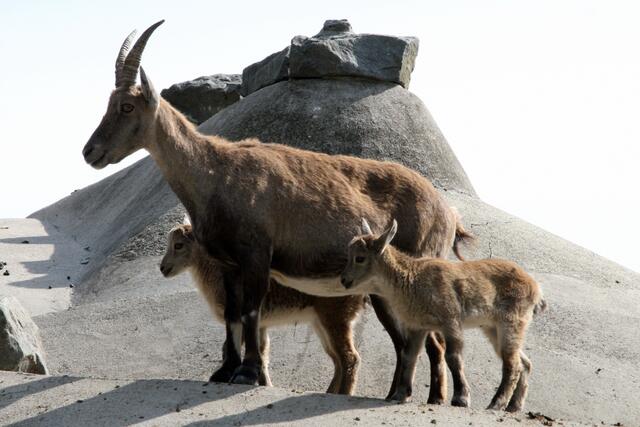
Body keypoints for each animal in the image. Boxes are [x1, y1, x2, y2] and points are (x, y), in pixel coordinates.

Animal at [160, 224, 365, 394]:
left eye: (178, 245)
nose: (163, 268)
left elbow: (229, 347)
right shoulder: (260, 324)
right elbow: (262, 352)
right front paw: (265, 384)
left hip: (335, 316)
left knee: (349, 358)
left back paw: (343, 393)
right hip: (321, 320)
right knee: (337, 359)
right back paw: (330, 392)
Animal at [340, 219, 546, 412]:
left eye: (360, 258)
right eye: (348, 255)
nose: (344, 280)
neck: (412, 280)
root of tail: (536, 289)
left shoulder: (450, 320)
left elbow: (453, 357)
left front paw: (461, 399)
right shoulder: (418, 326)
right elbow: (409, 356)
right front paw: (400, 394)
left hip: (511, 322)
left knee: (512, 364)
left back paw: (496, 404)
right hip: (492, 327)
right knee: (524, 362)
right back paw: (514, 406)